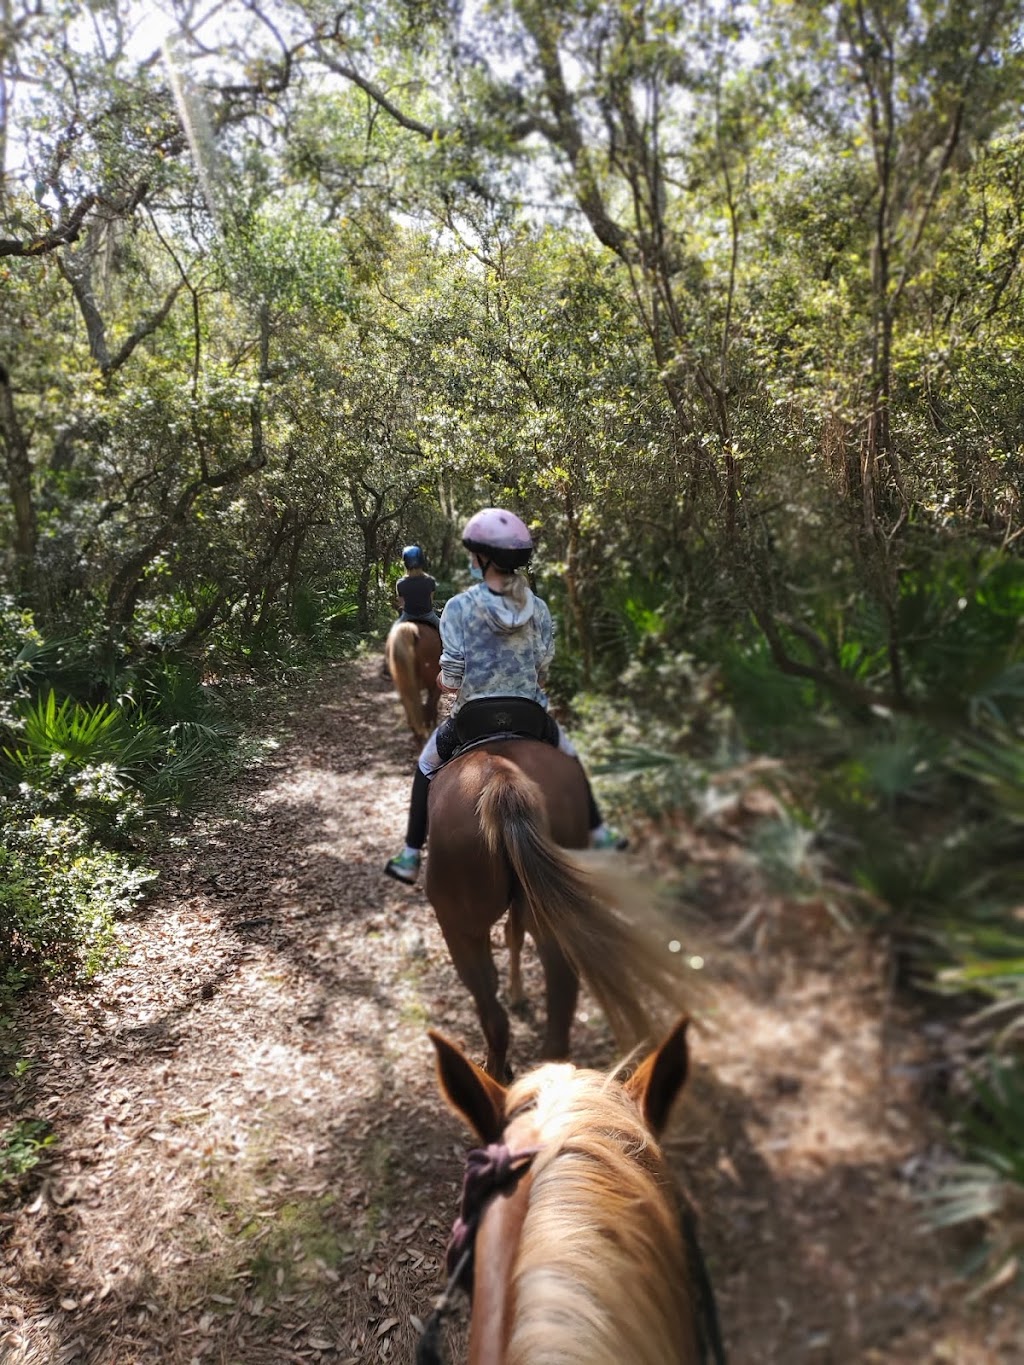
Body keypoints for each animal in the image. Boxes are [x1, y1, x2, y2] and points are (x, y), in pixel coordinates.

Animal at [425, 742, 690, 1081]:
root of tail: (503, 778)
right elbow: (514, 935)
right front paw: (518, 993)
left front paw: (516, 994)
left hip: (459, 927)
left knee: (492, 1013)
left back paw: (495, 1072)